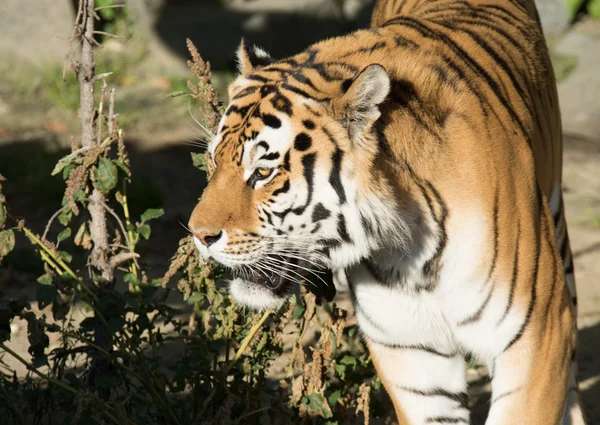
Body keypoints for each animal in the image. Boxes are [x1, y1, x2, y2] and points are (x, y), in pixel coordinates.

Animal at [188, 0, 584, 420]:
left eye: (263, 172)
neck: (409, 246)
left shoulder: (536, 339)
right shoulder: (410, 353)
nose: (198, 235)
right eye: (213, 160)